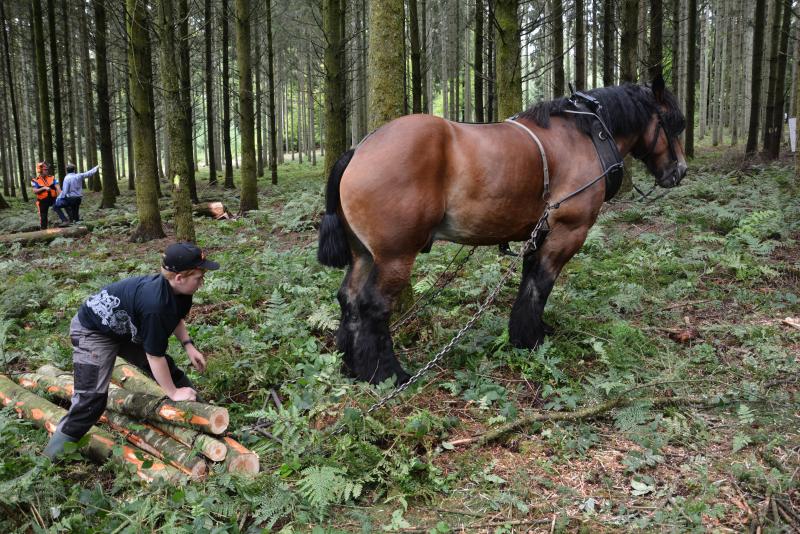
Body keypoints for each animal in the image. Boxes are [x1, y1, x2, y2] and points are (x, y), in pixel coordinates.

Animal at [318, 74, 688, 386]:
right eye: (672, 122)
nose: (679, 171)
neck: (585, 135)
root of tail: (358, 150)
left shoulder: (540, 233)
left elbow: (529, 279)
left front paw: (531, 332)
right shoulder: (568, 231)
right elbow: (540, 284)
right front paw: (529, 339)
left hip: (364, 253)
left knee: (349, 299)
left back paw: (351, 364)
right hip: (394, 256)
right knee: (373, 306)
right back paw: (387, 373)